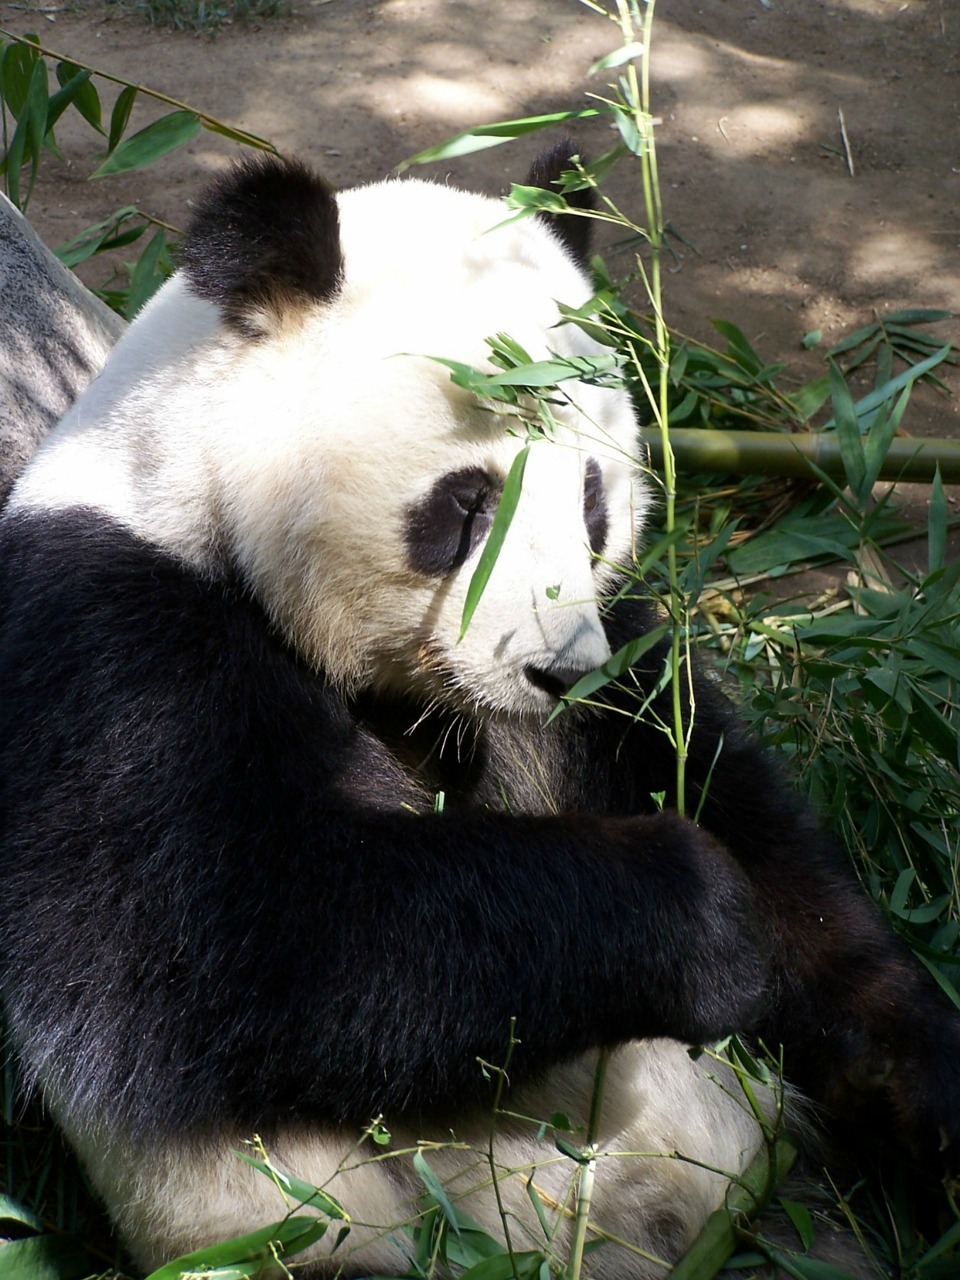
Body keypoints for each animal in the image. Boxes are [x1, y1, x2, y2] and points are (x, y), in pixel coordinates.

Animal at [1, 145, 960, 1274]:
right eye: (466, 503)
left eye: (592, 500)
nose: (555, 671)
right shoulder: (110, 641)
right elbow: (234, 942)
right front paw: (703, 919)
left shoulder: (618, 658)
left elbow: (755, 826)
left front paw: (915, 1084)